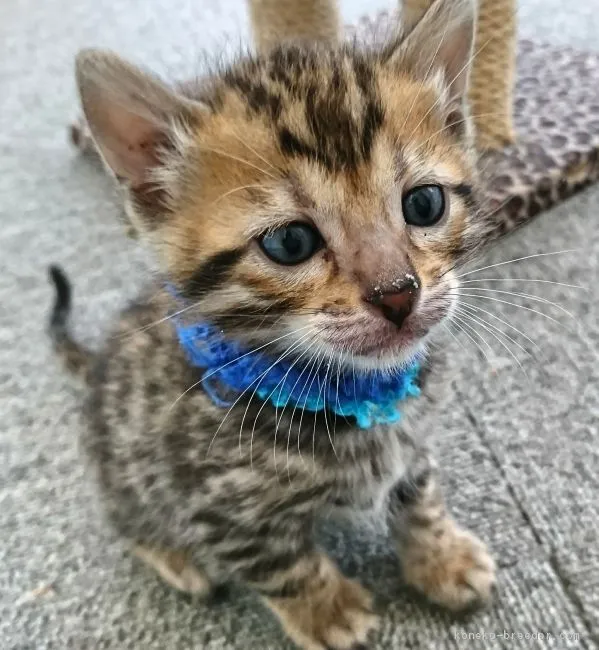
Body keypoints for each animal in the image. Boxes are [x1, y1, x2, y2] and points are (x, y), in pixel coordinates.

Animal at [50, 0, 496, 644]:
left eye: (425, 204)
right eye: (291, 243)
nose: (397, 294)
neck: (350, 390)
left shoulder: (412, 441)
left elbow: (418, 494)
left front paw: (440, 555)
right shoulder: (214, 503)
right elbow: (280, 562)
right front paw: (327, 609)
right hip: (125, 468)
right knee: (129, 520)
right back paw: (174, 558)